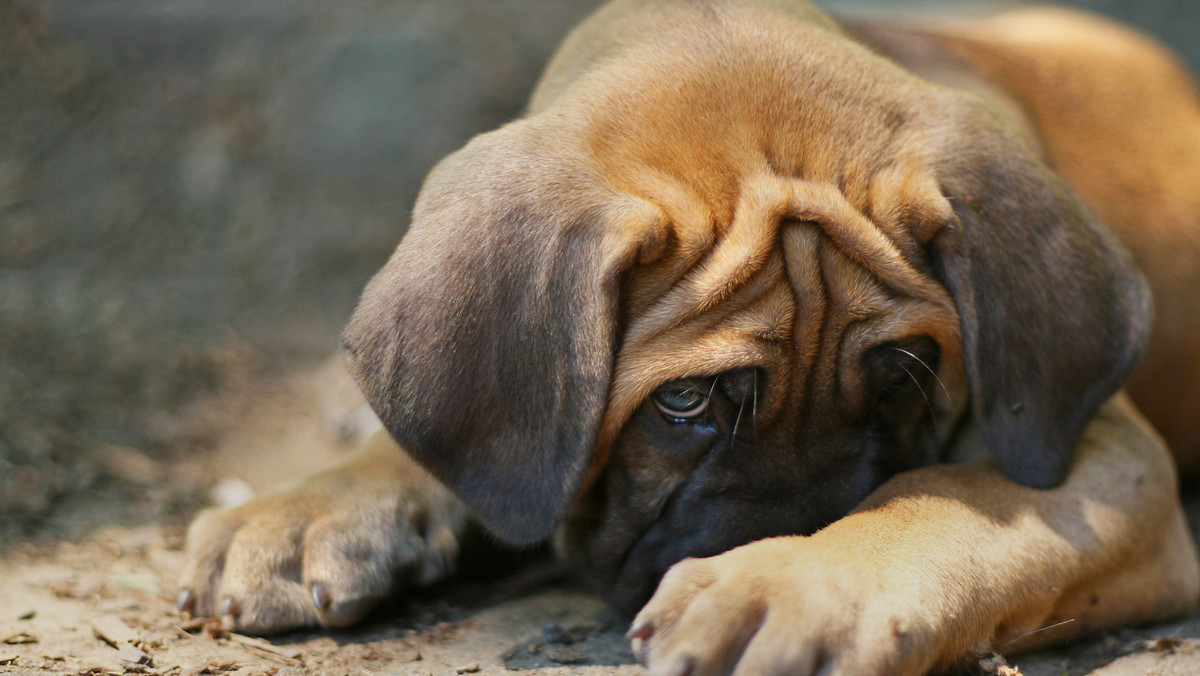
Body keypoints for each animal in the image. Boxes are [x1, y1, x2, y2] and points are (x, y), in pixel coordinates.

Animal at [175, 2, 1200, 672]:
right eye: (684, 401)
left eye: (902, 380)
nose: (793, 527)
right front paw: (308, 505)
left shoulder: (1110, 458)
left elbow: (944, 493)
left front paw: (784, 582)